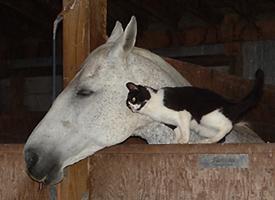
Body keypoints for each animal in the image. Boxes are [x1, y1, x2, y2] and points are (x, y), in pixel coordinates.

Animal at [127, 69, 266, 143]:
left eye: (133, 99)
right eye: (129, 106)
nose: (133, 109)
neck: (152, 107)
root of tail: (230, 104)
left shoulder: (184, 114)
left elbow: (185, 131)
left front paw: (184, 141)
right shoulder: (171, 123)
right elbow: (178, 131)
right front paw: (176, 141)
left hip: (207, 117)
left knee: (228, 125)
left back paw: (210, 141)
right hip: (204, 129)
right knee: (223, 137)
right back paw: (211, 141)